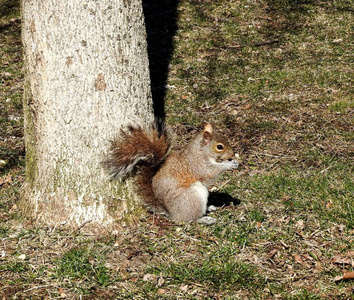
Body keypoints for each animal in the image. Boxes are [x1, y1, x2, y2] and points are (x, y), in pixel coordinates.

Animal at [103, 122, 241, 223]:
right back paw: (204, 219)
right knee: (186, 220)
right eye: (219, 147)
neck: (201, 151)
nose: (232, 154)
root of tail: (171, 213)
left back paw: (209, 208)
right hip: (191, 197)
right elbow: (210, 173)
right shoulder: (197, 165)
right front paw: (228, 164)